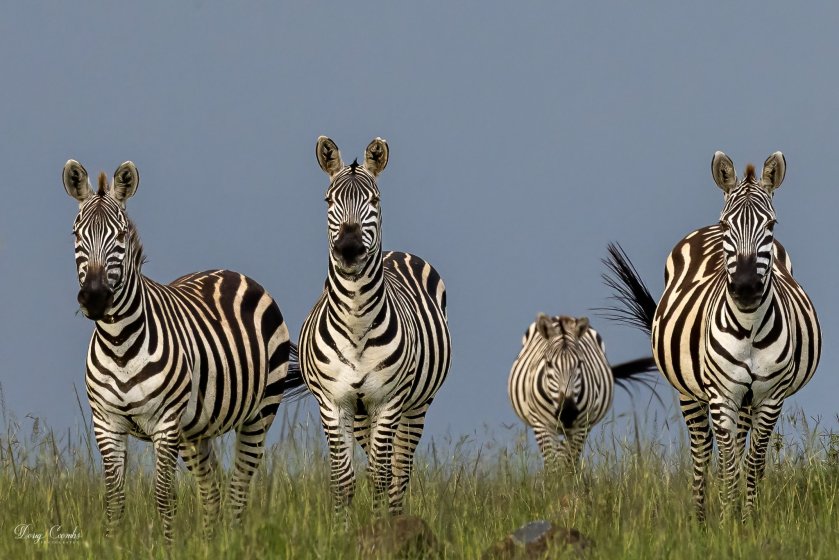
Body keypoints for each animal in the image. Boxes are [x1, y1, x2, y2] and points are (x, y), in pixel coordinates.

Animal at [62, 160, 305, 541]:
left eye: (121, 236)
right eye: (76, 234)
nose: (95, 297)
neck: (119, 344)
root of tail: (231, 272)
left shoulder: (165, 424)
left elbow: (164, 495)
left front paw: (168, 546)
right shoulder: (107, 422)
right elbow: (114, 498)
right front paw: (111, 545)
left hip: (259, 413)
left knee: (238, 487)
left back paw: (233, 542)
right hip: (195, 431)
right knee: (212, 490)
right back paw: (209, 544)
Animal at [298, 136, 452, 516]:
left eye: (375, 200)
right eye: (329, 200)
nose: (349, 249)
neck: (356, 323)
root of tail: (396, 252)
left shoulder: (389, 401)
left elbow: (382, 477)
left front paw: (380, 524)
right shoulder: (333, 403)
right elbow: (344, 480)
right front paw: (341, 526)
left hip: (416, 405)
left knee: (399, 470)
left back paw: (395, 516)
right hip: (361, 414)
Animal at [509, 313, 657, 470]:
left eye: (580, 363)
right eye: (548, 364)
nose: (567, 413)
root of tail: (561, 317)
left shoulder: (581, 425)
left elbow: (568, 461)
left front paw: (566, 477)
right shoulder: (541, 424)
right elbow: (551, 463)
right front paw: (554, 477)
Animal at [602, 151, 821, 521]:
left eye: (771, 226)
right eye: (726, 227)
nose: (745, 288)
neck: (749, 328)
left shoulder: (771, 396)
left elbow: (752, 462)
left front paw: (747, 521)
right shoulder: (720, 394)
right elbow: (729, 464)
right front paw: (728, 520)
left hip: (745, 400)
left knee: (736, 447)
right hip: (689, 391)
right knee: (703, 450)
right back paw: (701, 518)